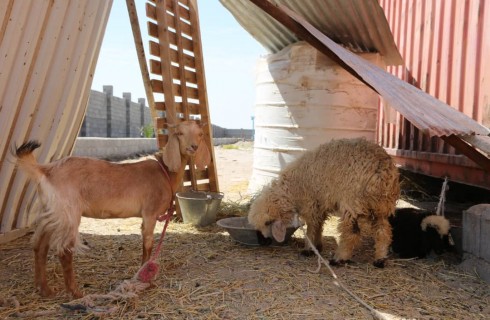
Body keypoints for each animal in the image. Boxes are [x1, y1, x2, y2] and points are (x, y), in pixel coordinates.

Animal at [14, 119, 211, 298]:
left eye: (200, 134)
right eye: (180, 133)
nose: (193, 147)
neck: (165, 172)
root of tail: (45, 170)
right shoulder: (150, 213)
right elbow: (148, 245)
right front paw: (145, 278)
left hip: (52, 212)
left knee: (39, 245)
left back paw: (44, 289)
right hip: (68, 213)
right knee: (64, 251)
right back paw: (75, 293)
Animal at [247, 138, 400, 268]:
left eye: (267, 222)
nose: (263, 242)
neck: (292, 189)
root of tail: (381, 167)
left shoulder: (310, 204)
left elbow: (311, 228)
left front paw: (308, 249)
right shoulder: (320, 205)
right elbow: (319, 226)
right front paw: (318, 245)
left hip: (352, 202)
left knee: (351, 233)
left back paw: (339, 259)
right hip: (381, 206)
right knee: (383, 232)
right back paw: (380, 259)